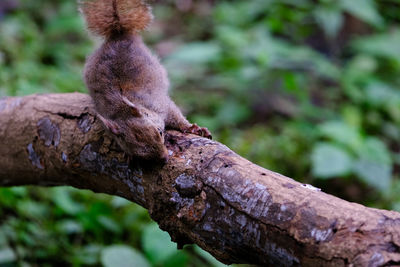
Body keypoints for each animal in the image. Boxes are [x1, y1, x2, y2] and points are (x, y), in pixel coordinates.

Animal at [80, 0, 212, 161]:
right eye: (140, 153)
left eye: (160, 132)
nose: (164, 157)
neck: (122, 109)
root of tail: (119, 35)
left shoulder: (161, 104)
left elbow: (176, 116)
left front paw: (192, 127)